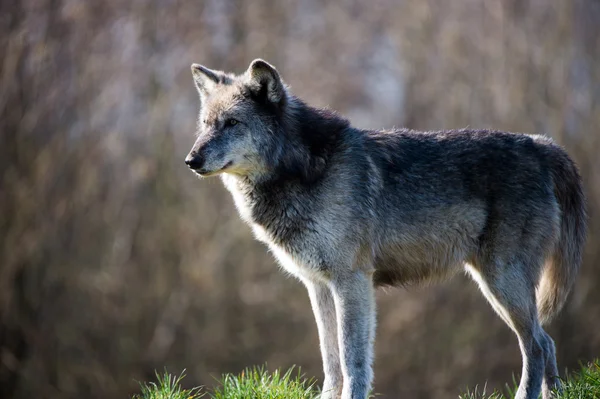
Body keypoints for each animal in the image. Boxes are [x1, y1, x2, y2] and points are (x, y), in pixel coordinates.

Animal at [183, 59, 584, 399]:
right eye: (205, 124)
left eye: (232, 123)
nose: (190, 160)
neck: (304, 169)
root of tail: (541, 145)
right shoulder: (319, 286)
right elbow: (330, 357)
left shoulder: (351, 281)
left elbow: (352, 359)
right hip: (499, 287)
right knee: (547, 341)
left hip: (501, 283)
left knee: (536, 345)